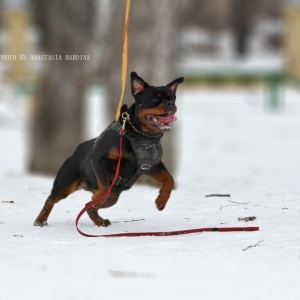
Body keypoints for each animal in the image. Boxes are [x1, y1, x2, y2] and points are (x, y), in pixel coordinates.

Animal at [33, 72, 183, 227]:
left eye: (173, 98)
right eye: (154, 99)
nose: (171, 104)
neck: (142, 136)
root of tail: (76, 151)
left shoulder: (153, 166)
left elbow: (170, 179)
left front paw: (161, 201)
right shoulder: (98, 159)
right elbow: (104, 188)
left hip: (113, 196)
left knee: (90, 205)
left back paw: (99, 221)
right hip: (66, 183)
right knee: (52, 199)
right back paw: (40, 220)